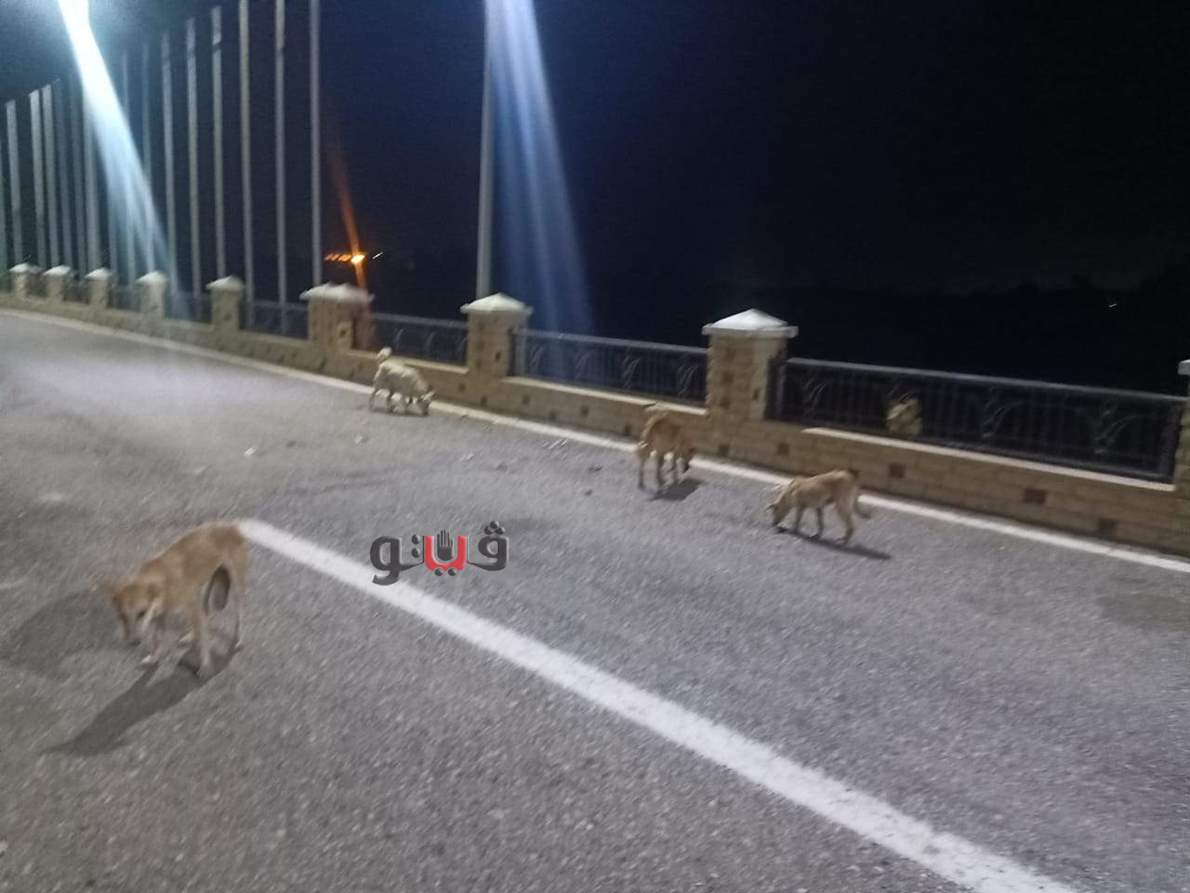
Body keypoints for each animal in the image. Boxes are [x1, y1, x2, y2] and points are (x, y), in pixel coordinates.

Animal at [100, 522, 249, 677]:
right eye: (121, 616)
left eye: (141, 613)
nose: (133, 642)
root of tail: (228, 525)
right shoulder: (159, 616)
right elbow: (157, 640)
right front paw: (153, 658)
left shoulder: (190, 607)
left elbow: (203, 643)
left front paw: (206, 666)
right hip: (204, 588)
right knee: (206, 614)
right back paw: (191, 635)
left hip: (235, 587)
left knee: (239, 614)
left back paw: (238, 639)